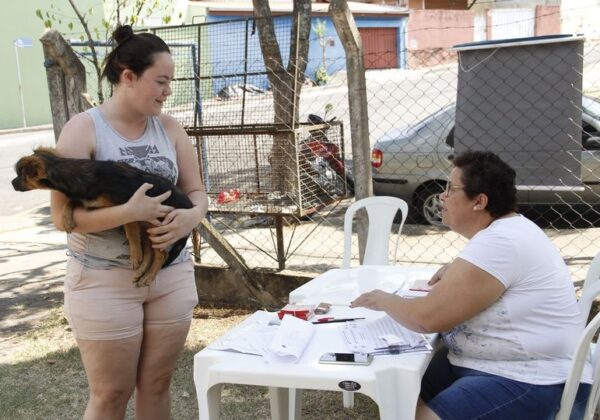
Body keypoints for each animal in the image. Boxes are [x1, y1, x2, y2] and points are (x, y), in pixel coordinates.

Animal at [11, 146, 193, 288]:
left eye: (21, 175)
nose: (11, 183)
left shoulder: (131, 207)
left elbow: (130, 232)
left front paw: (134, 254)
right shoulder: (92, 203)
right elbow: (71, 201)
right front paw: (67, 219)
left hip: (158, 226)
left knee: (161, 255)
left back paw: (148, 275)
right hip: (148, 226)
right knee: (150, 251)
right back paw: (142, 272)